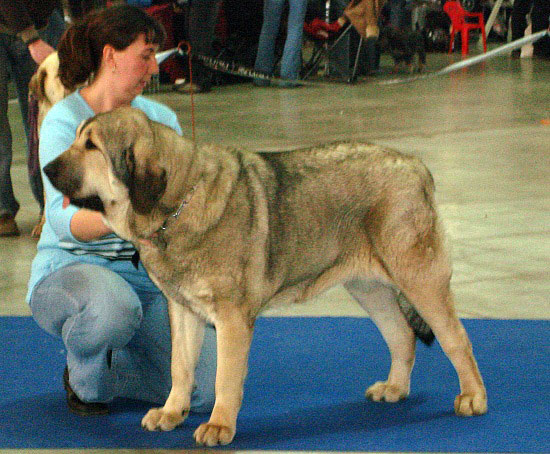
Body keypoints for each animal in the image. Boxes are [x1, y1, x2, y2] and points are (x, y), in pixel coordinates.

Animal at [45, 107, 490, 446]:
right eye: (77, 139)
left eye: (91, 146)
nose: (46, 167)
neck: (177, 203)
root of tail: (417, 166)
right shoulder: (183, 311)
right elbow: (180, 368)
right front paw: (173, 412)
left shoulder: (231, 319)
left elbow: (225, 377)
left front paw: (220, 425)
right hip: (368, 287)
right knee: (401, 336)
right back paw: (395, 388)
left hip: (419, 279)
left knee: (456, 339)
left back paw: (473, 397)